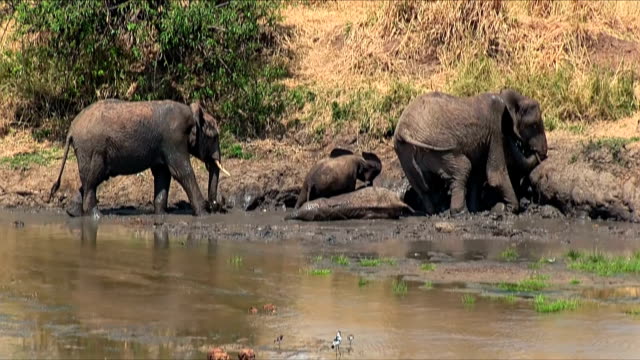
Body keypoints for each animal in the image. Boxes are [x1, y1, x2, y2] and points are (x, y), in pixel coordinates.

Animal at [48, 98, 231, 217]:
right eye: (214, 137)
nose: (216, 206)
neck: (192, 113)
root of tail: (71, 130)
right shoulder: (174, 138)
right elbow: (181, 171)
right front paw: (203, 214)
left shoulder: (164, 144)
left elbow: (163, 174)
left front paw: (161, 214)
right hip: (92, 148)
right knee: (93, 179)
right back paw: (95, 216)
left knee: (90, 180)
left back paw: (73, 213)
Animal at [392, 88, 548, 215]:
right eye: (533, 125)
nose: (536, 152)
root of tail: (404, 130)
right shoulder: (496, 129)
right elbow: (495, 175)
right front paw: (511, 210)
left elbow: (477, 175)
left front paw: (477, 209)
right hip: (435, 146)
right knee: (463, 167)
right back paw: (460, 213)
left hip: (405, 154)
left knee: (422, 187)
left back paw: (433, 211)